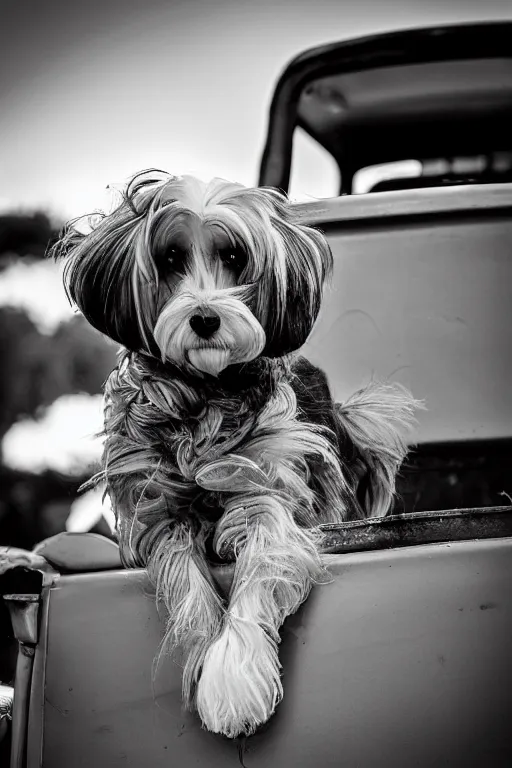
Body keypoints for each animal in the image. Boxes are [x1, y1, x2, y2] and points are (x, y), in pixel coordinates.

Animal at [52, 172, 420, 736]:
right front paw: (209, 659)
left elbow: (262, 564)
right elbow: (186, 588)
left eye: (233, 255)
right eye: (170, 257)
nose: (205, 318)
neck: (204, 394)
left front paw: (234, 679)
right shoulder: (159, 510)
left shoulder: (272, 490)